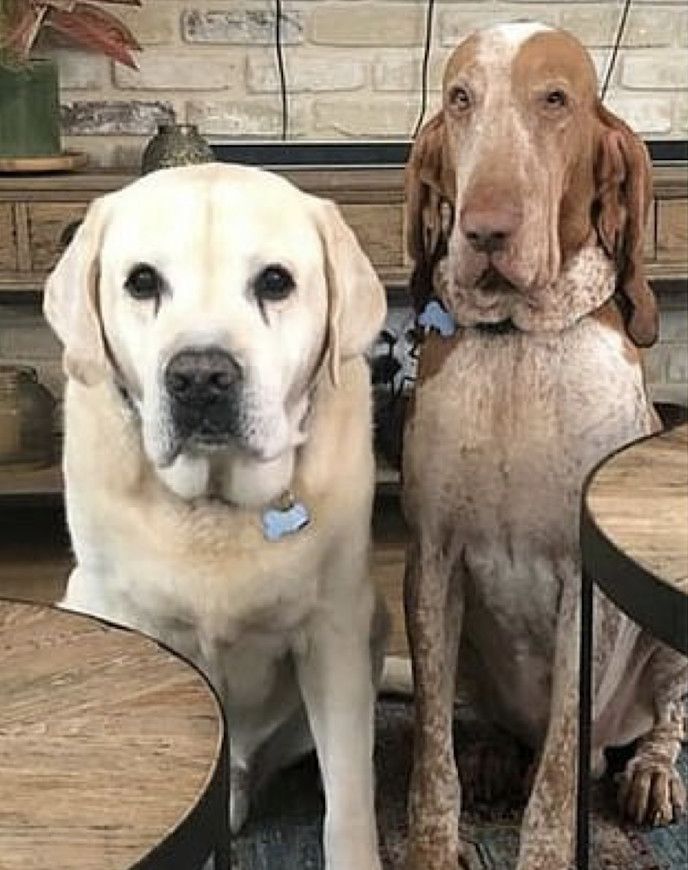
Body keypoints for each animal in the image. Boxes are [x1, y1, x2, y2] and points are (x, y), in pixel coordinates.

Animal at [400, 20, 684, 870]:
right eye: (461, 98)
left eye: (555, 99)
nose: (486, 230)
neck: (519, 346)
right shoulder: (431, 563)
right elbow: (430, 750)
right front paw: (433, 846)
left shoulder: (585, 587)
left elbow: (559, 769)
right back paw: (494, 755)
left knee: (657, 726)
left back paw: (650, 772)